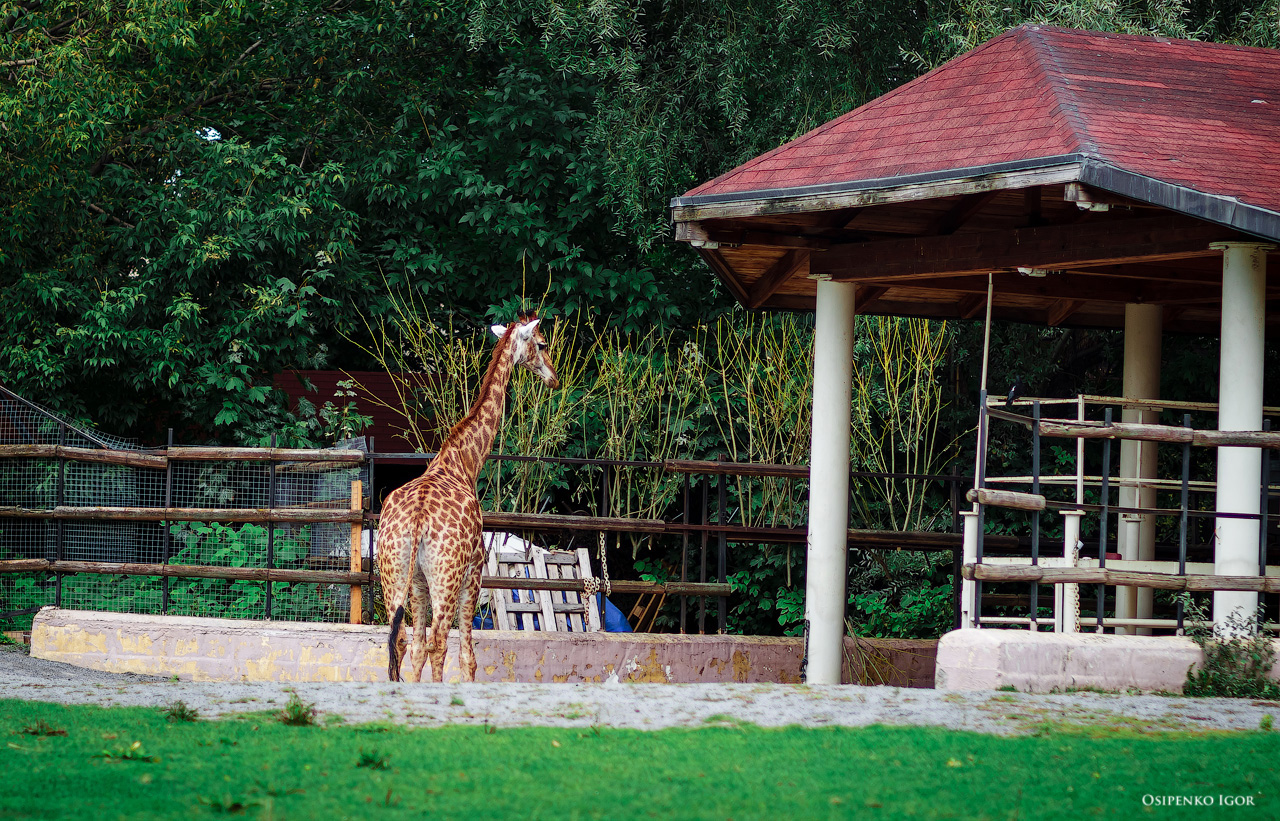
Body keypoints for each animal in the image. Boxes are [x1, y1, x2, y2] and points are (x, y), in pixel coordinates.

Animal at [378, 311, 559, 682]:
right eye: (542, 343)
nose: (554, 378)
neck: (463, 462)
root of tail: (417, 521)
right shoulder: (474, 573)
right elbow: (467, 656)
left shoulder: (420, 582)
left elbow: (416, 648)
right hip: (446, 577)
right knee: (437, 642)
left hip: (396, 573)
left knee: (401, 640)